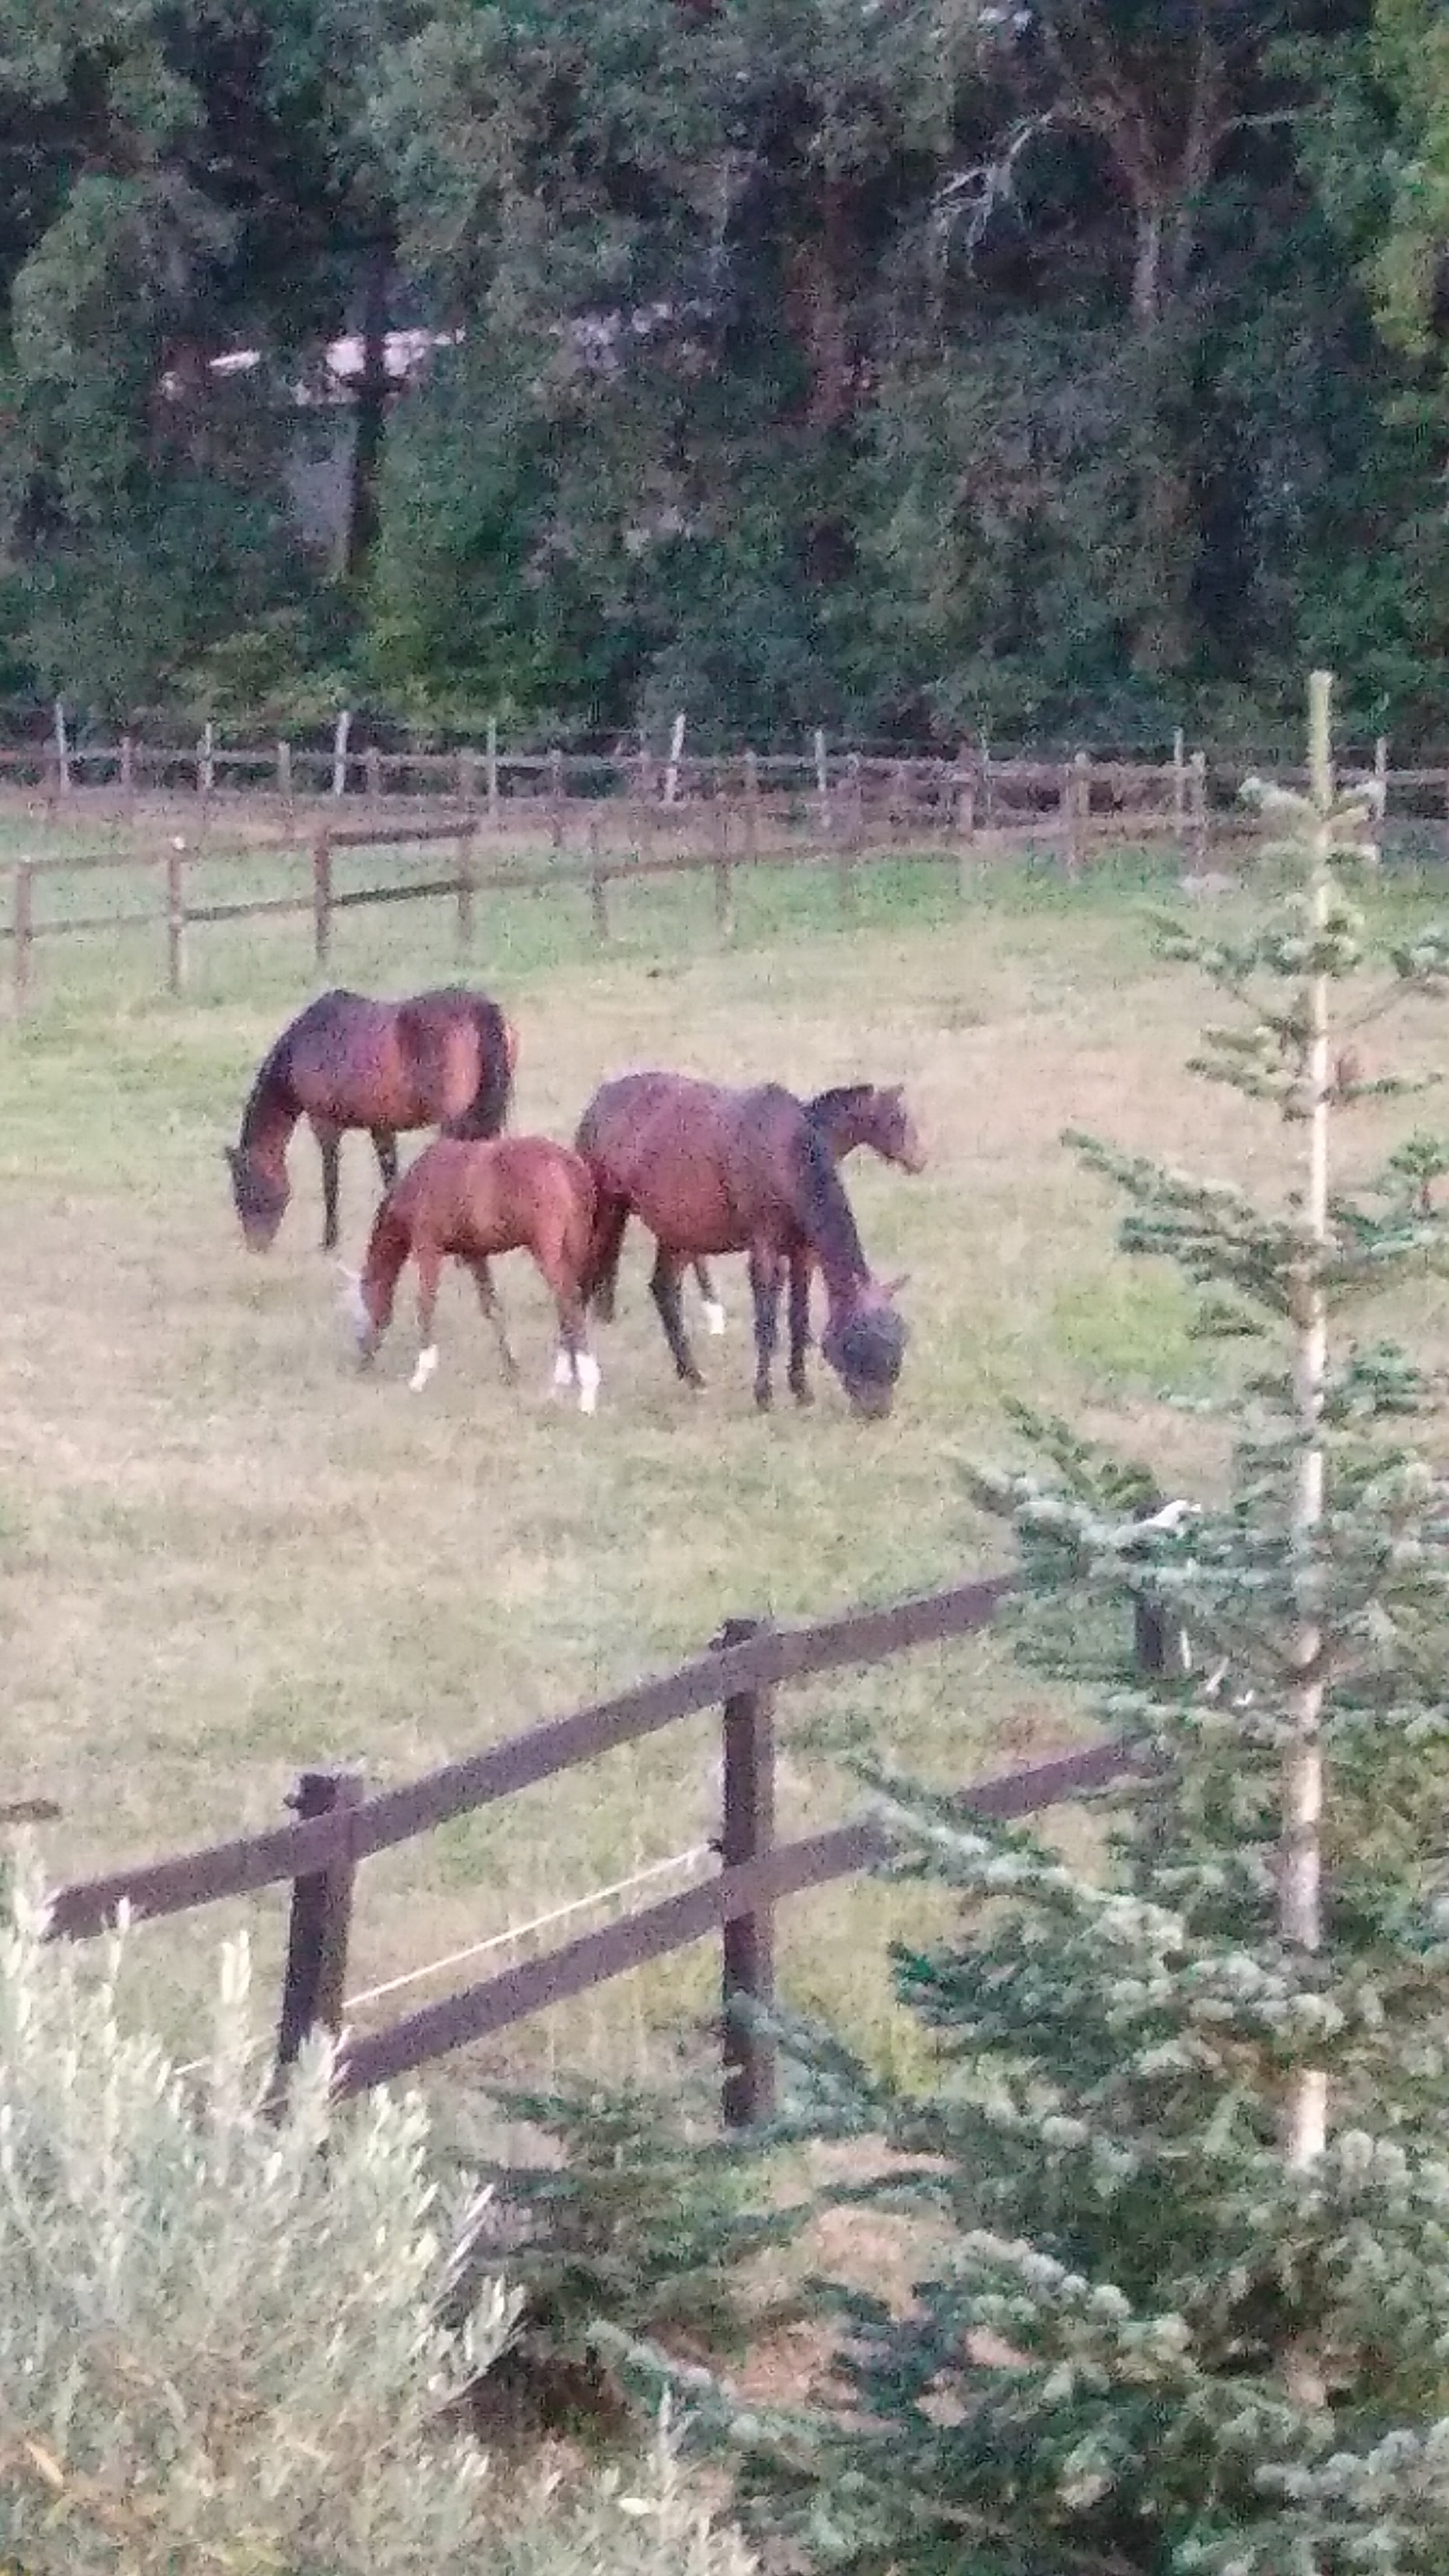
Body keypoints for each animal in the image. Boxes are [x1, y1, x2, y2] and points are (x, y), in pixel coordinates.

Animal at [225, 987, 517, 1254]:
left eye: (245, 1191)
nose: (256, 1247)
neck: (309, 1042)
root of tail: (480, 1008)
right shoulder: (381, 1126)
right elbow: (390, 1176)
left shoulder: (325, 1125)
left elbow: (330, 1180)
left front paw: (330, 1241)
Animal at [338, 1136, 601, 1412]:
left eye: (362, 1306)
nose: (363, 1360)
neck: (419, 1183)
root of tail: (567, 1164)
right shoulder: (475, 1254)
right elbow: (491, 1306)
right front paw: (511, 1369)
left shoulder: (428, 1249)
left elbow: (426, 1304)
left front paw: (421, 1374)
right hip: (575, 1248)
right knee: (571, 1304)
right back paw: (560, 1383)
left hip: (547, 1251)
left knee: (568, 1303)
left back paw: (586, 1391)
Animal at [575, 1075, 909, 1417]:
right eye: (857, 1343)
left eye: (899, 1343)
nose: (877, 1412)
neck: (783, 1151)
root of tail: (601, 1097)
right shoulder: (764, 1250)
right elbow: (765, 1322)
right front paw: (763, 1394)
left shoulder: (802, 1252)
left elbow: (798, 1318)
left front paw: (801, 1389)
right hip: (607, 1217)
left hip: (676, 1234)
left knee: (663, 1289)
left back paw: (692, 1375)